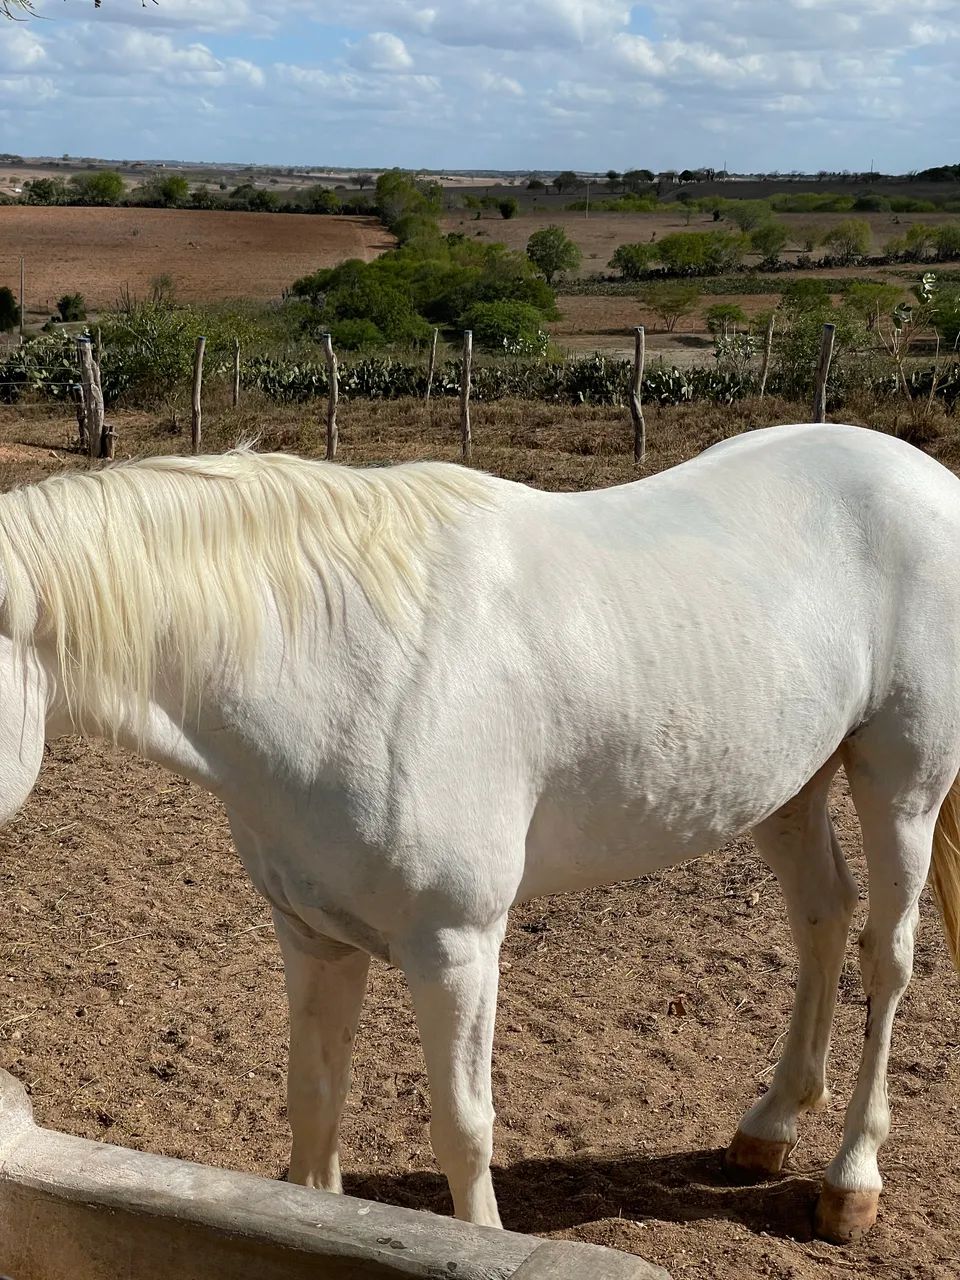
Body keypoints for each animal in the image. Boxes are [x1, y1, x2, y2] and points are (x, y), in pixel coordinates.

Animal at [0, 422, 957, 1246]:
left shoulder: (455, 947)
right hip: (788, 787)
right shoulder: (313, 937)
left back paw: (851, 1182)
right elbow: (314, 1105)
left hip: (903, 786)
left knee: (887, 955)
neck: (339, 664)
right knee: (823, 918)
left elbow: (463, 1127)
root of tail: (928, 477)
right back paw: (770, 1125)